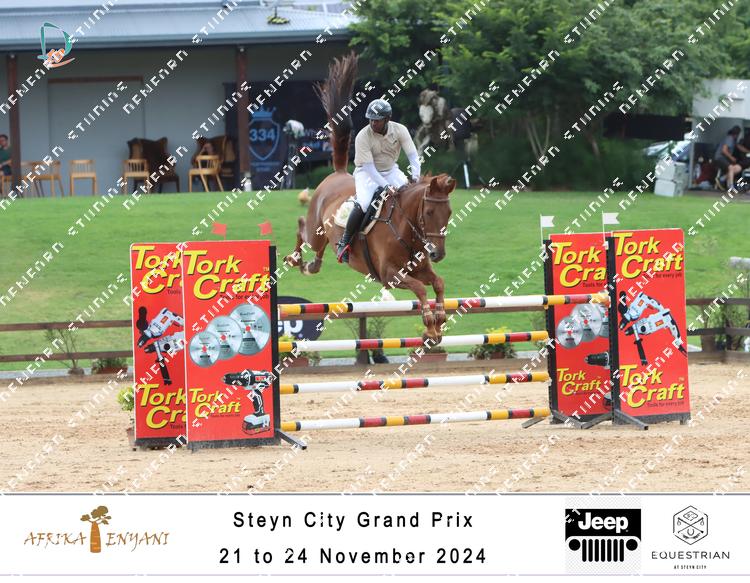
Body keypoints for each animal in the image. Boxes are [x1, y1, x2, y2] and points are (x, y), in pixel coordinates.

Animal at [284, 53, 456, 341]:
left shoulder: (421, 269)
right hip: (316, 229)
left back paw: (311, 265)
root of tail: (338, 173)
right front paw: (429, 324)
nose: (438, 253)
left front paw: (439, 320)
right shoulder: (390, 275)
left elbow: (438, 283)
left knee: (318, 252)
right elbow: (421, 289)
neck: (406, 229)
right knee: (301, 227)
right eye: (429, 213)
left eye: (449, 213)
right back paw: (295, 258)